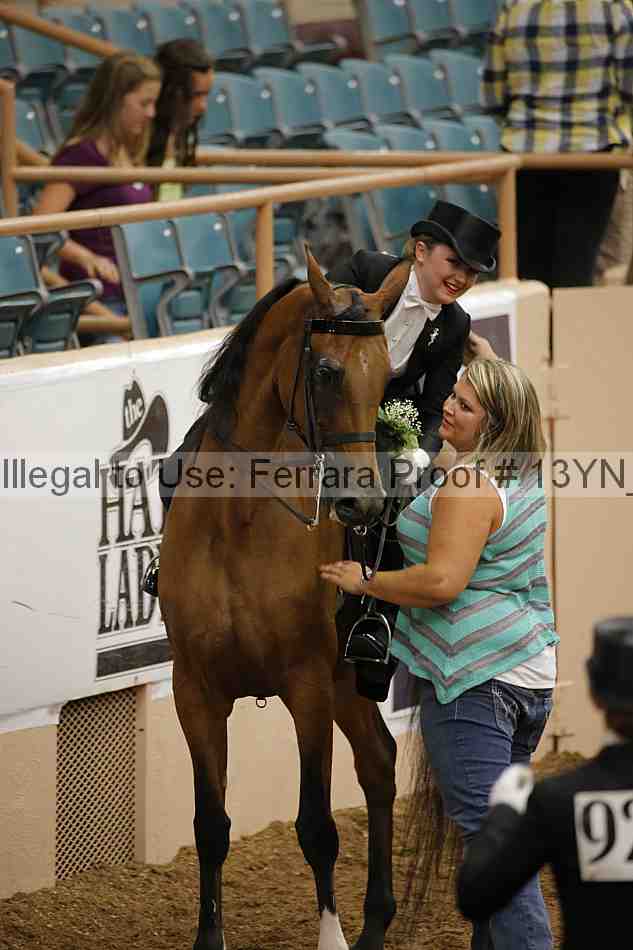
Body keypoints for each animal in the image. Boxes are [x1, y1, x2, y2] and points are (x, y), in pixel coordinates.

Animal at [158, 247, 410, 950]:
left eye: (387, 378)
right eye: (325, 372)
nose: (363, 503)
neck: (238, 523)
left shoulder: (307, 686)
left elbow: (317, 827)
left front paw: (331, 938)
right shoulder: (195, 691)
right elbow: (210, 827)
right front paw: (208, 939)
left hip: (345, 675)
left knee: (377, 767)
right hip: (347, 684)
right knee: (379, 761)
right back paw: (376, 924)